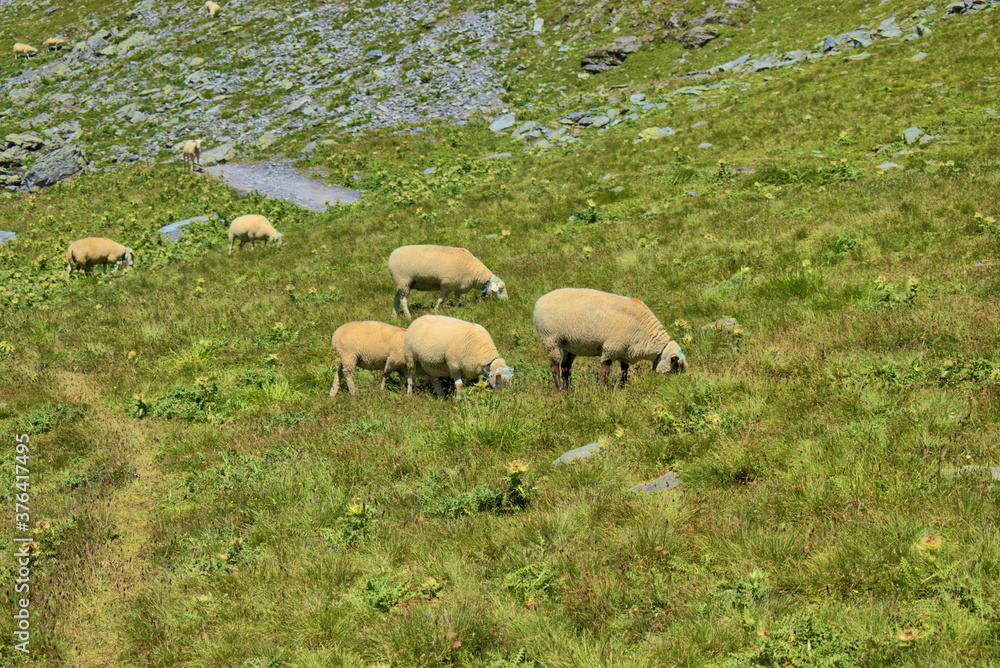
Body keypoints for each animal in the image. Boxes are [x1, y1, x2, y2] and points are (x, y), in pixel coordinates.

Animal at [533, 287, 687, 390]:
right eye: (676, 366)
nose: (675, 386)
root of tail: (539, 301)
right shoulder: (611, 347)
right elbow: (605, 370)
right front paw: (601, 388)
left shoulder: (625, 350)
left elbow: (624, 369)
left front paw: (623, 386)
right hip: (550, 339)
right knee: (554, 367)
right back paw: (560, 389)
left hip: (569, 344)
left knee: (566, 367)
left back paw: (569, 390)